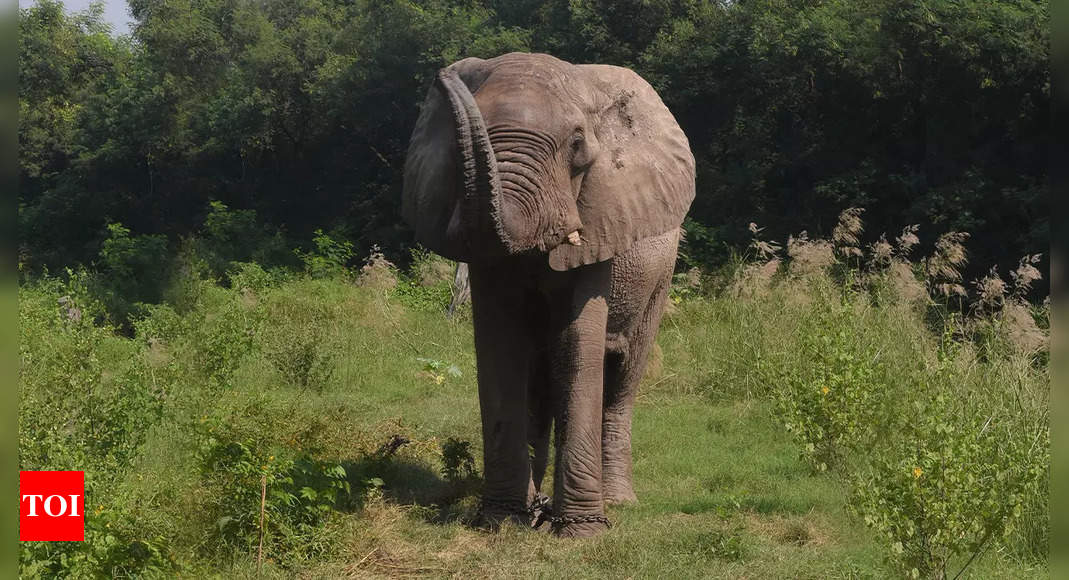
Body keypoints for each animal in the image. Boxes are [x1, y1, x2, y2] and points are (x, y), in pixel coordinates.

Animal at [401, 52, 692, 538]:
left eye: (576, 143)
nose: (445, 74)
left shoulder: (601, 219)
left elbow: (577, 346)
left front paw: (583, 532)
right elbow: (501, 348)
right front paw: (502, 522)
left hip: (660, 276)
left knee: (622, 376)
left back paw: (616, 501)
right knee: (538, 380)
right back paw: (535, 506)